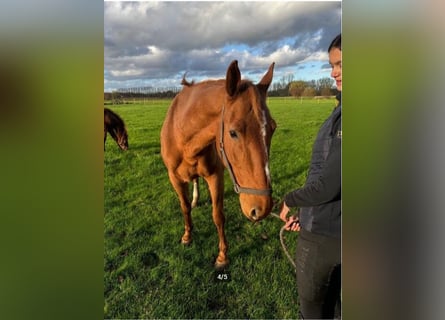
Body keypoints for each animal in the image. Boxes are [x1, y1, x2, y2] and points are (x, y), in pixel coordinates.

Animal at [160, 60, 276, 268]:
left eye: (273, 128)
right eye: (233, 133)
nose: (262, 208)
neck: (183, 137)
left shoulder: (215, 175)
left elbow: (218, 215)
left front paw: (222, 256)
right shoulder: (174, 178)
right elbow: (185, 207)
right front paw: (187, 236)